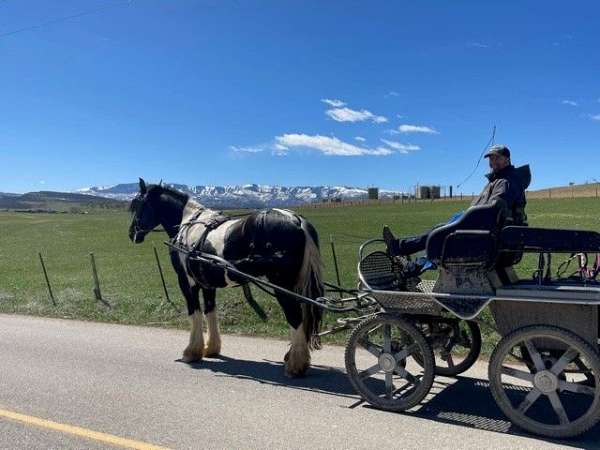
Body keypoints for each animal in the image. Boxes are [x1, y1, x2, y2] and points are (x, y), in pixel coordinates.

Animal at [127, 179, 324, 376]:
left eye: (137, 205)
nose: (131, 234)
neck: (188, 224)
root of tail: (297, 220)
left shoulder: (187, 282)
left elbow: (195, 313)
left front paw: (192, 351)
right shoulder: (207, 284)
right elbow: (210, 311)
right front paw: (212, 348)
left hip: (282, 285)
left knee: (295, 317)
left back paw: (295, 365)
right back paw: (293, 357)